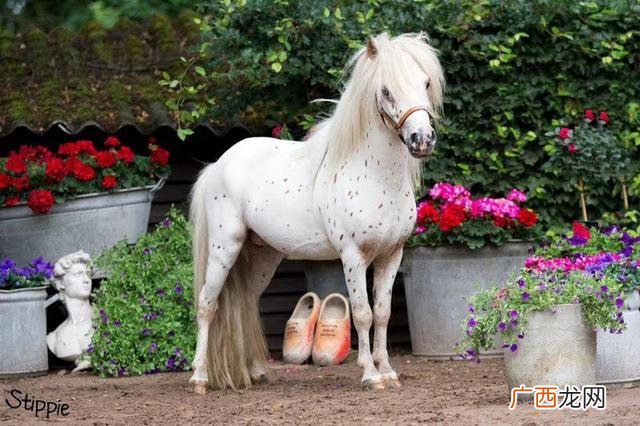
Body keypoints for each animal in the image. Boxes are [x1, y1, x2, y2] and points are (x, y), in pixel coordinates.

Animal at [188, 32, 445, 393]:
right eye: (385, 91)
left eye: (425, 83)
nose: (422, 140)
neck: (375, 177)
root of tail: (217, 164)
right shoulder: (353, 257)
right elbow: (363, 313)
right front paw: (370, 375)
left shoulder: (391, 255)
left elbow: (382, 313)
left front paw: (389, 372)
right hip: (225, 247)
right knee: (206, 305)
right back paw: (199, 378)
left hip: (264, 255)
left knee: (247, 303)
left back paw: (256, 371)